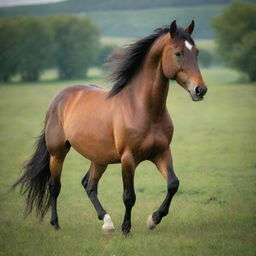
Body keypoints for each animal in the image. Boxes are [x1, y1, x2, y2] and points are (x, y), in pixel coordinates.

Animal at [13, 20, 207, 235]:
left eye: (196, 52)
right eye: (178, 53)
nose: (200, 90)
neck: (143, 108)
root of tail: (59, 98)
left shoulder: (161, 153)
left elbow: (173, 184)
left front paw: (153, 219)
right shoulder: (128, 158)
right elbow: (129, 196)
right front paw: (126, 228)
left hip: (99, 158)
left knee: (89, 184)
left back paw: (107, 221)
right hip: (58, 153)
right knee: (55, 186)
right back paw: (56, 224)